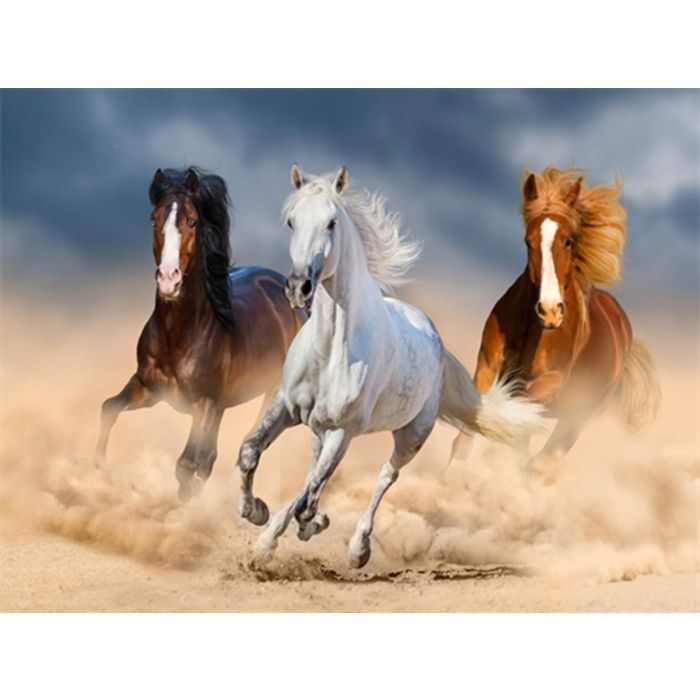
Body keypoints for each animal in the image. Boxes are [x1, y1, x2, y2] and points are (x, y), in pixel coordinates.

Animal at [95, 167, 305, 500]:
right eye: (154, 219)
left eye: (192, 221)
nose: (169, 279)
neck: (179, 335)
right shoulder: (148, 388)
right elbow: (109, 409)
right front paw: (100, 469)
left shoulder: (203, 405)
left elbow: (186, 464)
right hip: (221, 406)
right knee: (211, 456)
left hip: (270, 394)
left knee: (246, 446)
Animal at [235, 164, 544, 568]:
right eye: (291, 221)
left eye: (332, 223)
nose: (299, 287)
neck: (331, 351)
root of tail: (435, 339)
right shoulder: (286, 406)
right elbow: (251, 453)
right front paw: (255, 512)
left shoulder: (343, 430)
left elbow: (310, 497)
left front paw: (304, 526)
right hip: (319, 428)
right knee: (314, 472)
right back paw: (276, 534)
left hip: (411, 435)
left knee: (385, 474)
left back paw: (358, 549)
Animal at [450, 166, 661, 471]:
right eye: (528, 242)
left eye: (568, 240)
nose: (550, 311)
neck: (530, 329)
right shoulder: (487, 367)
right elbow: (470, 430)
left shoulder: (552, 382)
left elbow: (513, 405)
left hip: (578, 418)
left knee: (542, 459)